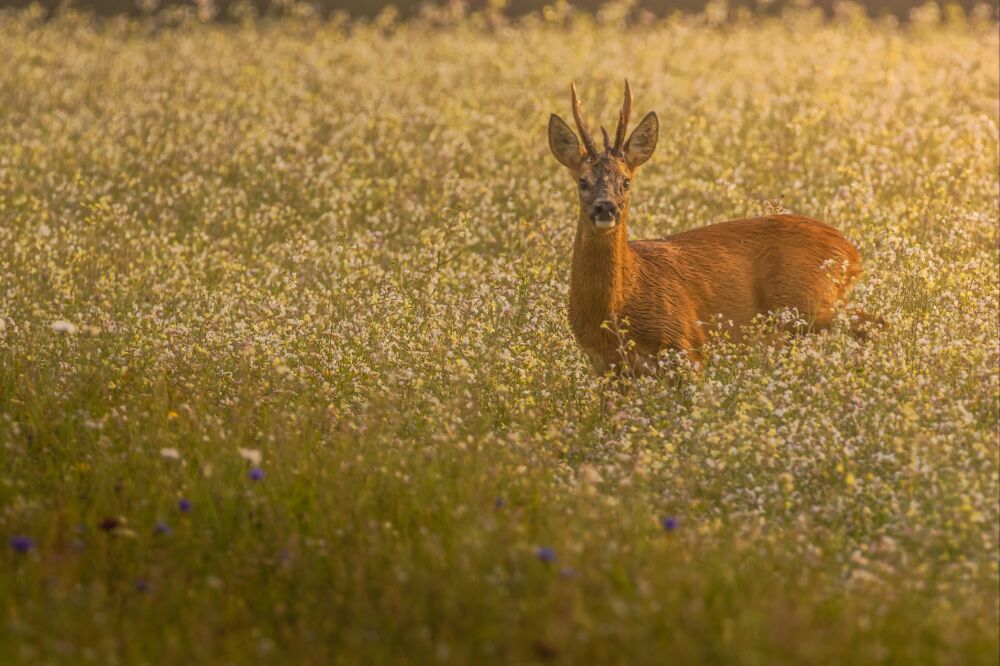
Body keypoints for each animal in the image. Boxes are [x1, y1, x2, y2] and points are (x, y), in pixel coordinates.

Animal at [552, 81, 872, 374]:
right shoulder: (605, 367)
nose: (605, 207)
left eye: (626, 181)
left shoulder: (685, 341)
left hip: (810, 304)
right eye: (583, 181)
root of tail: (851, 252)